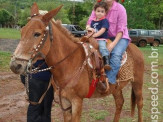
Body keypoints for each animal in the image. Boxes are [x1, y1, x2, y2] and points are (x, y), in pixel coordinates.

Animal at [9, 2, 144, 122]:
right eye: (22, 31)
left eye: (37, 34)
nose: (15, 65)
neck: (70, 63)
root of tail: (137, 49)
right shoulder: (65, 101)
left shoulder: (77, 101)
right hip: (116, 88)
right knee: (120, 102)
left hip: (137, 83)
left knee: (139, 103)